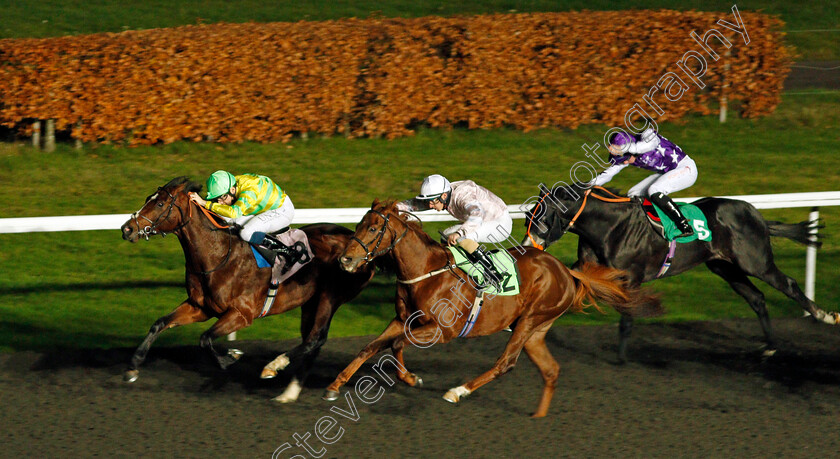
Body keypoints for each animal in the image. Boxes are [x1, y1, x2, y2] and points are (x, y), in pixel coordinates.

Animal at [120, 176, 376, 402]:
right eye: (148, 198)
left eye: (160, 204)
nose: (127, 229)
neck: (217, 256)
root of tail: (361, 247)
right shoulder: (199, 307)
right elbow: (160, 324)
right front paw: (132, 367)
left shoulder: (242, 314)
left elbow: (205, 338)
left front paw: (230, 358)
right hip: (309, 303)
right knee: (311, 341)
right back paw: (288, 393)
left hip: (329, 298)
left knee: (316, 338)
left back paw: (273, 367)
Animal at [324, 199, 660, 418]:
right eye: (358, 225)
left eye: (373, 229)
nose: (345, 260)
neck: (425, 271)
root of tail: (568, 271)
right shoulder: (402, 318)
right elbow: (371, 347)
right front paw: (335, 385)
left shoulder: (442, 331)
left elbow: (393, 345)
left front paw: (410, 378)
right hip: (536, 330)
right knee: (550, 369)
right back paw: (538, 417)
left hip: (529, 321)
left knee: (505, 363)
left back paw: (457, 391)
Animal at [520, 184, 836, 362]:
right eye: (527, 217)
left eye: (543, 218)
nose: (526, 248)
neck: (610, 227)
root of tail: (757, 215)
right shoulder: (587, 271)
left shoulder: (631, 278)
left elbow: (627, 319)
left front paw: (621, 358)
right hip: (724, 267)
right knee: (757, 298)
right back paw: (769, 346)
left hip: (754, 261)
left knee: (788, 284)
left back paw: (825, 315)